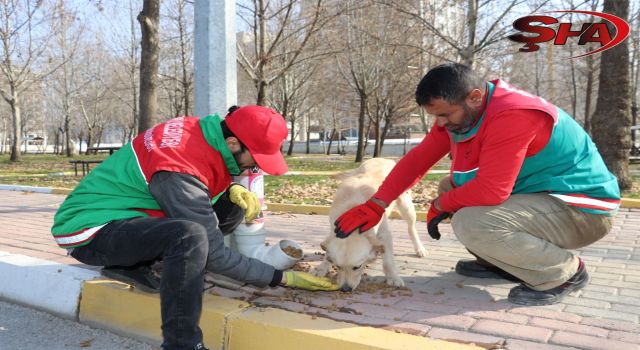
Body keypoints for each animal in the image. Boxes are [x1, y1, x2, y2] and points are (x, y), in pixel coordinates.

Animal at [310, 157, 424, 292]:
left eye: (357, 267)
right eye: (338, 266)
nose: (345, 289)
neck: (353, 210)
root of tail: (384, 158)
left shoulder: (385, 234)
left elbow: (388, 261)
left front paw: (393, 277)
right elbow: (328, 252)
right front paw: (321, 268)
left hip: (407, 207)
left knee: (411, 228)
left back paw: (419, 248)